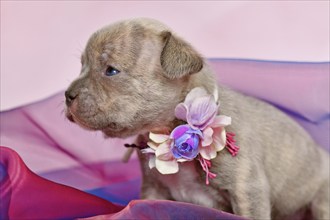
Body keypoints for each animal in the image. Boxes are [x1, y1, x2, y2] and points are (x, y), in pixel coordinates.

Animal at [65, 18, 330, 219]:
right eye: (82, 66)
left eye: (111, 71)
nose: (68, 95)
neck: (172, 129)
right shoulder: (153, 190)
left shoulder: (247, 191)